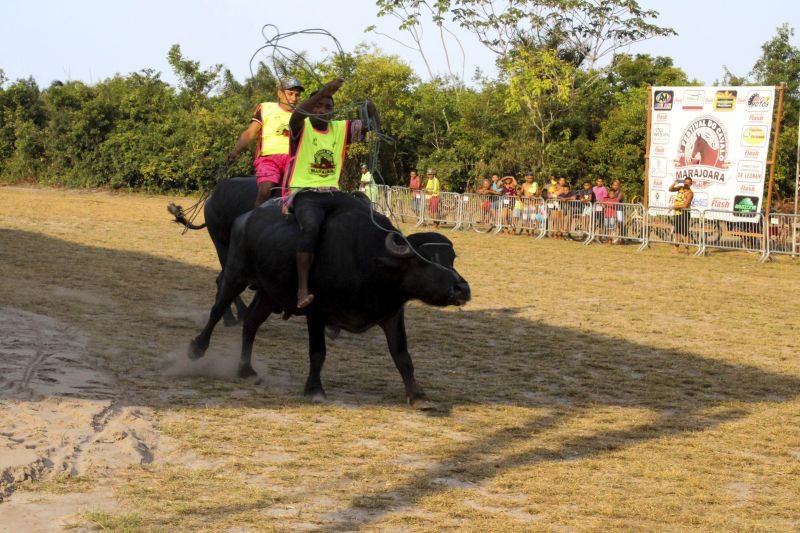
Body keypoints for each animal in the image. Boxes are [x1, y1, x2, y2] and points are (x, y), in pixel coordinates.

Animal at [189, 197, 468, 406]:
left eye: (452, 258)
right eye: (424, 259)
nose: (462, 289)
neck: (370, 264)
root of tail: (243, 218)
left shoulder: (392, 314)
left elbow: (402, 356)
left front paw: (418, 396)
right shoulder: (316, 313)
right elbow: (317, 353)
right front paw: (314, 390)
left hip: (268, 292)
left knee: (251, 323)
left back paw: (246, 369)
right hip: (235, 273)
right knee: (217, 309)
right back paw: (196, 349)